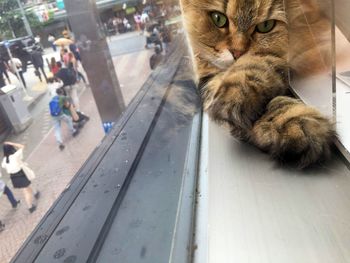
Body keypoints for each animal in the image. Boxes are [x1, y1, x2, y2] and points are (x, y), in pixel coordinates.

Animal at [180, 0, 336, 169]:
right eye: (218, 18)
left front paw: (294, 122)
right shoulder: (206, 78)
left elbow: (261, 63)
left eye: (266, 25)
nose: (237, 53)